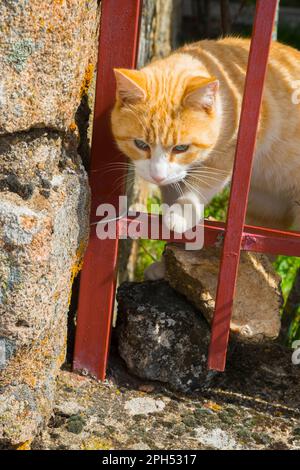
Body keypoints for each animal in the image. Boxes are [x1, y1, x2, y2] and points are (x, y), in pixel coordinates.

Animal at [111, 37, 300, 280]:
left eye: (181, 147)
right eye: (141, 144)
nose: (157, 176)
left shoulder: (227, 156)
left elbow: (200, 187)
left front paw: (182, 214)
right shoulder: (172, 180)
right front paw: (167, 263)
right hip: (265, 209)